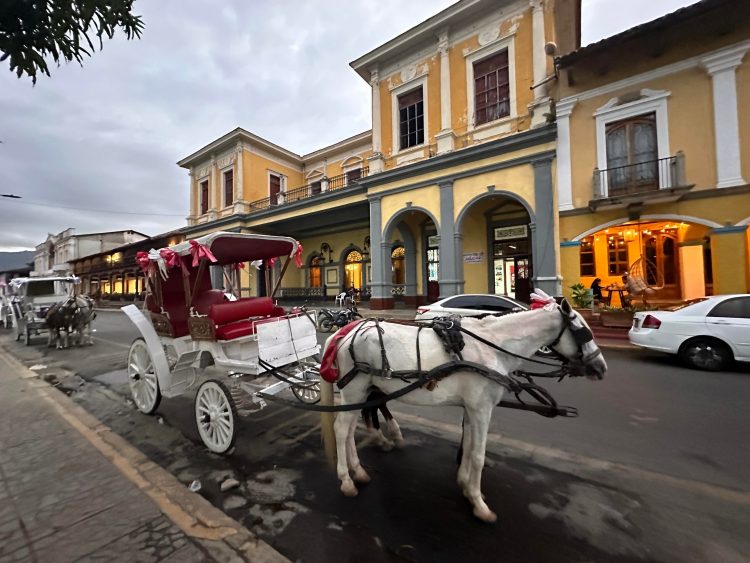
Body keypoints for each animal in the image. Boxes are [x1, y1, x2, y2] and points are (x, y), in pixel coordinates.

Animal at [326, 296, 608, 524]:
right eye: (584, 332)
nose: (601, 368)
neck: (492, 346)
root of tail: (344, 334)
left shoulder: (473, 408)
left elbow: (470, 447)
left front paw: (466, 485)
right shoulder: (482, 408)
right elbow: (478, 455)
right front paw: (479, 504)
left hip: (362, 390)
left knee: (350, 427)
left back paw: (359, 470)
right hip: (356, 388)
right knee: (341, 428)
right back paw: (347, 480)